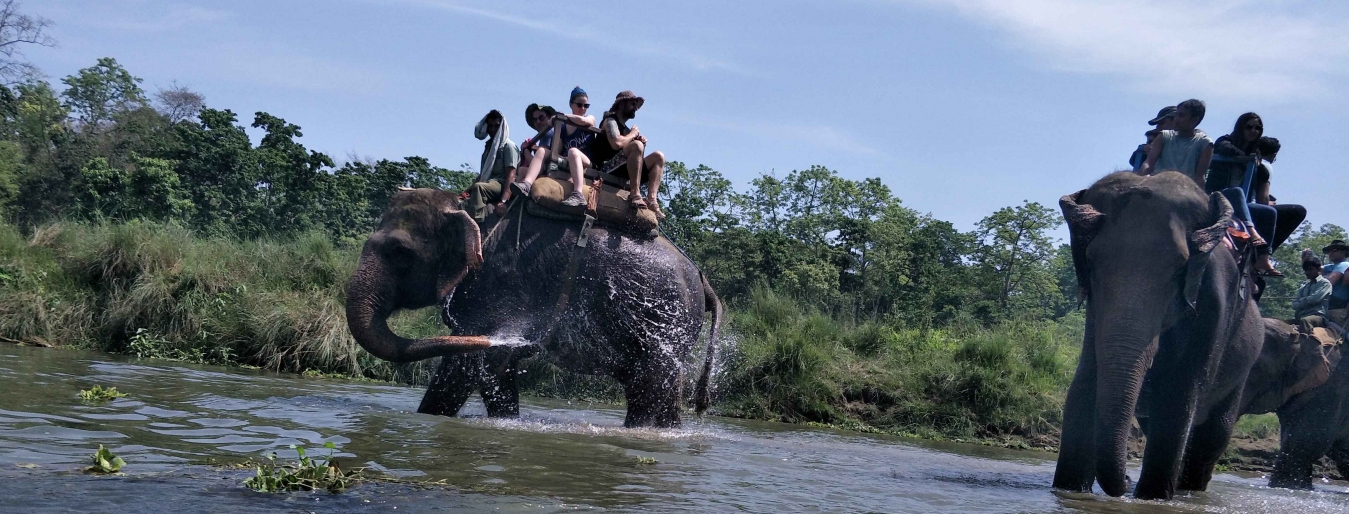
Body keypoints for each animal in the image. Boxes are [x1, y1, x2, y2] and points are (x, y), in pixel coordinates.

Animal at [348, 188, 728, 429]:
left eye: (400, 252)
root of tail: (704, 280)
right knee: (653, 390)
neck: (470, 209)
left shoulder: (501, 283)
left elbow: (473, 363)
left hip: (666, 322)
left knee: (651, 389)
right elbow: (497, 368)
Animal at [1057, 169, 1268, 499]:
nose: (1125, 482)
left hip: (1244, 368)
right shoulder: (1095, 310)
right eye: (1091, 262)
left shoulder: (1215, 305)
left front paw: (1151, 498)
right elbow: (1085, 385)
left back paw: (1189, 491)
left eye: (1179, 269)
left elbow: (1179, 398)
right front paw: (1071, 491)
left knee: (1211, 439)